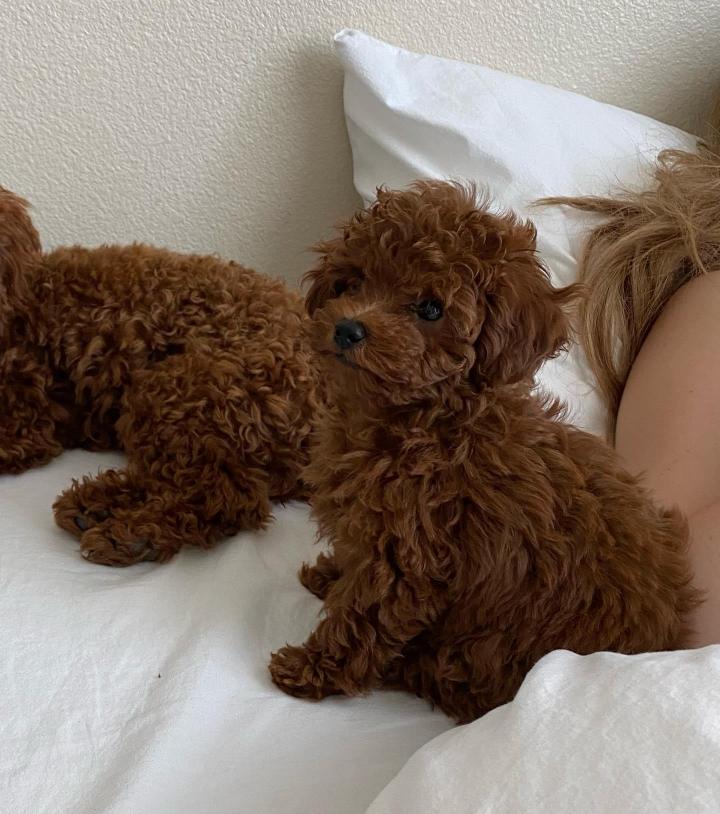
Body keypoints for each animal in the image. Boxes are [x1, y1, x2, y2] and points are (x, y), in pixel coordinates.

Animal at [269, 180, 700, 723]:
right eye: (353, 282)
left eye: (431, 310)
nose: (348, 329)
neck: (428, 418)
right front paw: (331, 574)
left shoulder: (409, 553)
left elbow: (363, 615)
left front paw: (311, 668)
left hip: (481, 653)